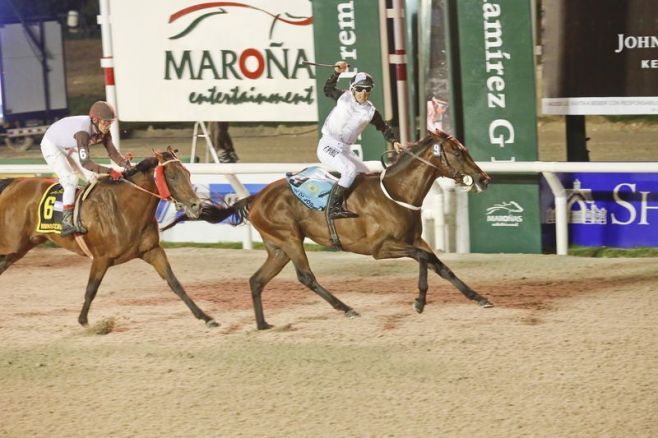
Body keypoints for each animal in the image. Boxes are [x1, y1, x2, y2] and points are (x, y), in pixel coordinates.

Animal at [0, 147, 219, 328]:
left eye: (188, 173)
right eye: (172, 177)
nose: (196, 206)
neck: (124, 208)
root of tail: (14, 182)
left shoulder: (151, 251)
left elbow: (175, 283)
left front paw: (206, 317)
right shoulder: (101, 258)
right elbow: (91, 289)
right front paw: (85, 322)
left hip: (20, 247)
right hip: (11, 243)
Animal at [167, 130, 490, 328]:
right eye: (457, 152)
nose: (484, 178)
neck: (396, 193)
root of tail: (256, 197)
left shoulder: (414, 239)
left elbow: (438, 265)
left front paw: (474, 298)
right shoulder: (382, 248)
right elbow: (427, 259)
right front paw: (421, 301)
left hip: (278, 248)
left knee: (257, 280)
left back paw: (262, 324)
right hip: (291, 239)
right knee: (306, 277)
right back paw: (346, 308)